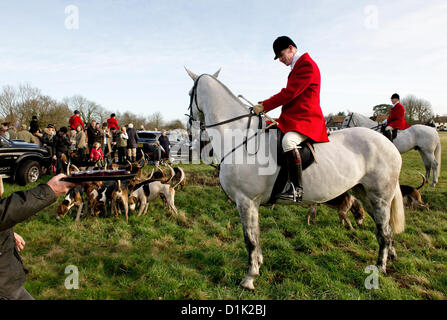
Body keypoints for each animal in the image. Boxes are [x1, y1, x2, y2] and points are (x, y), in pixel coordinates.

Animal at [186, 69, 406, 292]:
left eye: (189, 94)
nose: (190, 126)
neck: (240, 139)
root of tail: (388, 144)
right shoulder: (251, 203)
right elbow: (256, 236)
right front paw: (259, 264)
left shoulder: (245, 200)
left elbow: (250, 240)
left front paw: (250, 277)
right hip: (366, 195)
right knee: (385, 229)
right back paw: (391, 257)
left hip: (380, 197)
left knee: (384, 232)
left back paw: (380, 268)